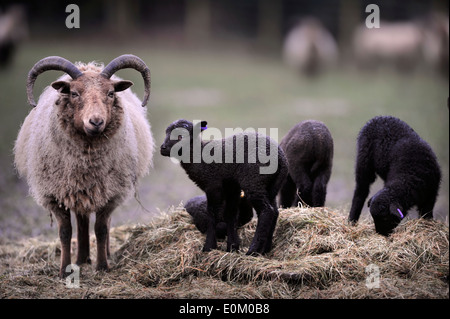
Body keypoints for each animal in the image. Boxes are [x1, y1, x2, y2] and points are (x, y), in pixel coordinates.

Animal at [14, 54, 155, 278]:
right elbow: (65, 232)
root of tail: (90, 66)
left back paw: (99, 255)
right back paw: (81, 258)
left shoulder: (110, 193)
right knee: (81, 222)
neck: (85, 163)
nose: (95, 122)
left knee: (100, 223)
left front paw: (103, 266)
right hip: (79, 191)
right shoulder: (54, 194)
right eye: (74, 93)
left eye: (110, 93)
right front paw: (64, 270)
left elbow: (101, 229)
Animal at [161, 119, 288, 256]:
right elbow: (230, 214)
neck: (199, 156)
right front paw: (232, 247)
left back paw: (252, 250)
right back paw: (265, 249)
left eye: (180, 136)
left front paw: (209, 247)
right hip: (271, 186)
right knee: (275, 211)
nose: (162, 148)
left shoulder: (213, 185)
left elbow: (212, 214)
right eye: (166, 132)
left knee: (266, 211)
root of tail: (281, 158)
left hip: (254, 181)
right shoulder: (231, 188)